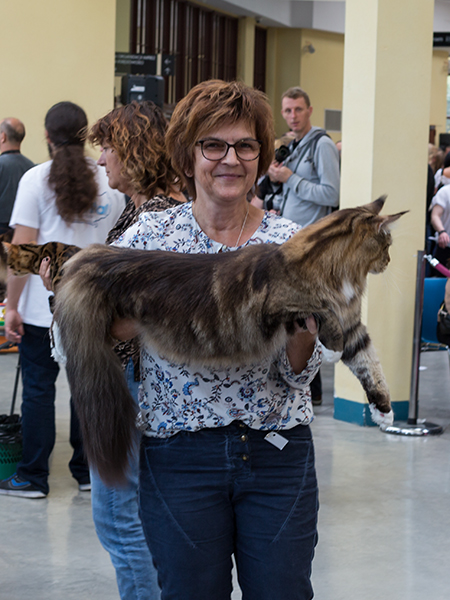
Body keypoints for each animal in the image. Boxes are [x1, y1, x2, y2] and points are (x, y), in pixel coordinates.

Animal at [5, 197, 406, 484]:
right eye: (386, 244)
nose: (388, 261)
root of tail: (95, 254)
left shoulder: (355, 330)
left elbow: (370, 365)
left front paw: (384, 411)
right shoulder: (284, 308)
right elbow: (322, 323)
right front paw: (332, 349)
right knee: (56, 317)